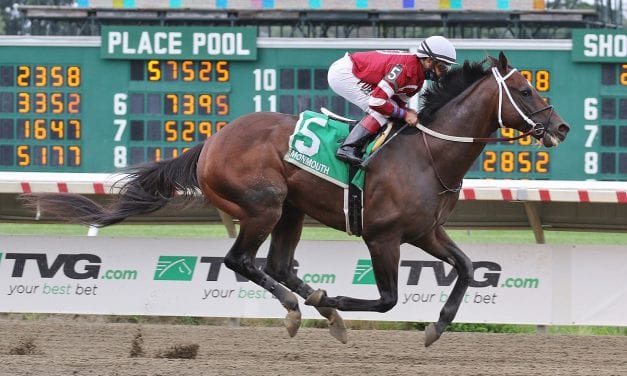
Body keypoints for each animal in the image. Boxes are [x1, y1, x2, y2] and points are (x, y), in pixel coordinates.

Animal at [22, 53, 568, 346]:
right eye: (524, 89)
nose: (560, 127)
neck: (429, 151)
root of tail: (212, 140)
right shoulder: (383, 236)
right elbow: (389, 299)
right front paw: (334, 302)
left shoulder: (425, 231)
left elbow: (468, 268)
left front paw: (437, 327)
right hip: (262, 205)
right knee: (241, 260)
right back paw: (302, 309)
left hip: (292, 210)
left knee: (278, 265)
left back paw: (315, 309)